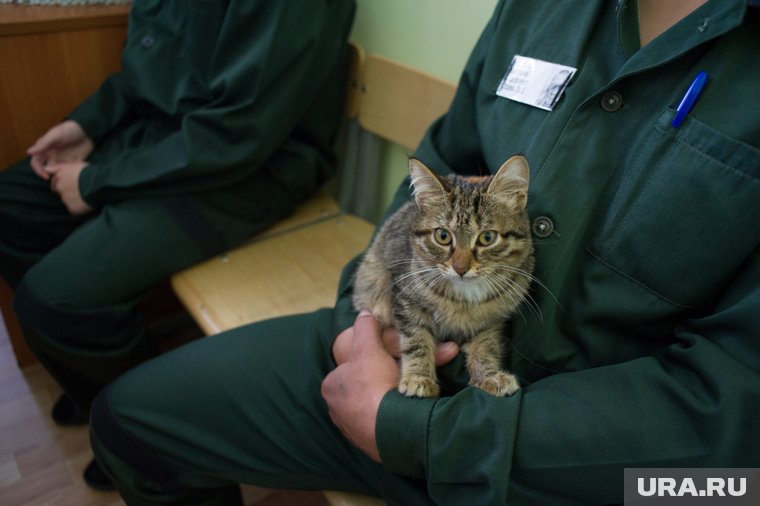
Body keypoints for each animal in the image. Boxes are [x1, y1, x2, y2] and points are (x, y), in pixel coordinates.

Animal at [352, 156, 536, 398]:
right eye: (443, 236)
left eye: (487, 237)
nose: (460, 268)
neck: (465, 297)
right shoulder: (406, 302)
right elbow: (416, 340)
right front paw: (418, 377)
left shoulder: (492, 321)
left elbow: (486, 346)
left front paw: (488, 376)